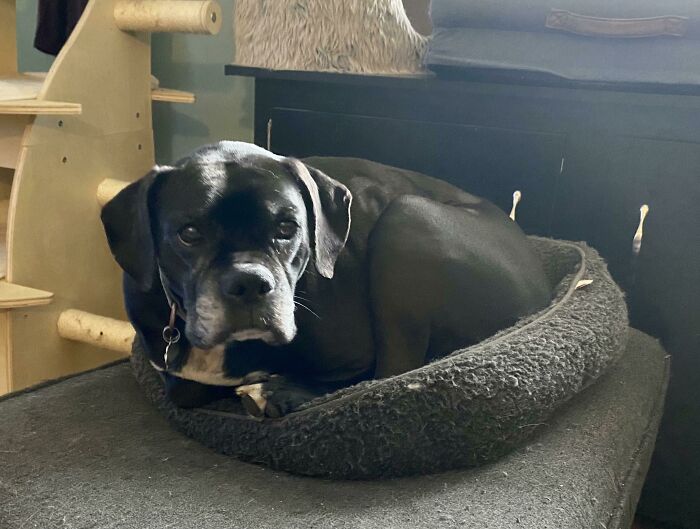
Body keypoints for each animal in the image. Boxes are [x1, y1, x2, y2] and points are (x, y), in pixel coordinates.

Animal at [101, 141, 548, 416]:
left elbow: (355, 380)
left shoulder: (355, 353)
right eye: (189, 233)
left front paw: (278, 387)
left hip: (408, 216)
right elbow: (187, 387)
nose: (249, 284)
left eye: (287, 227)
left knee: (392, 373)